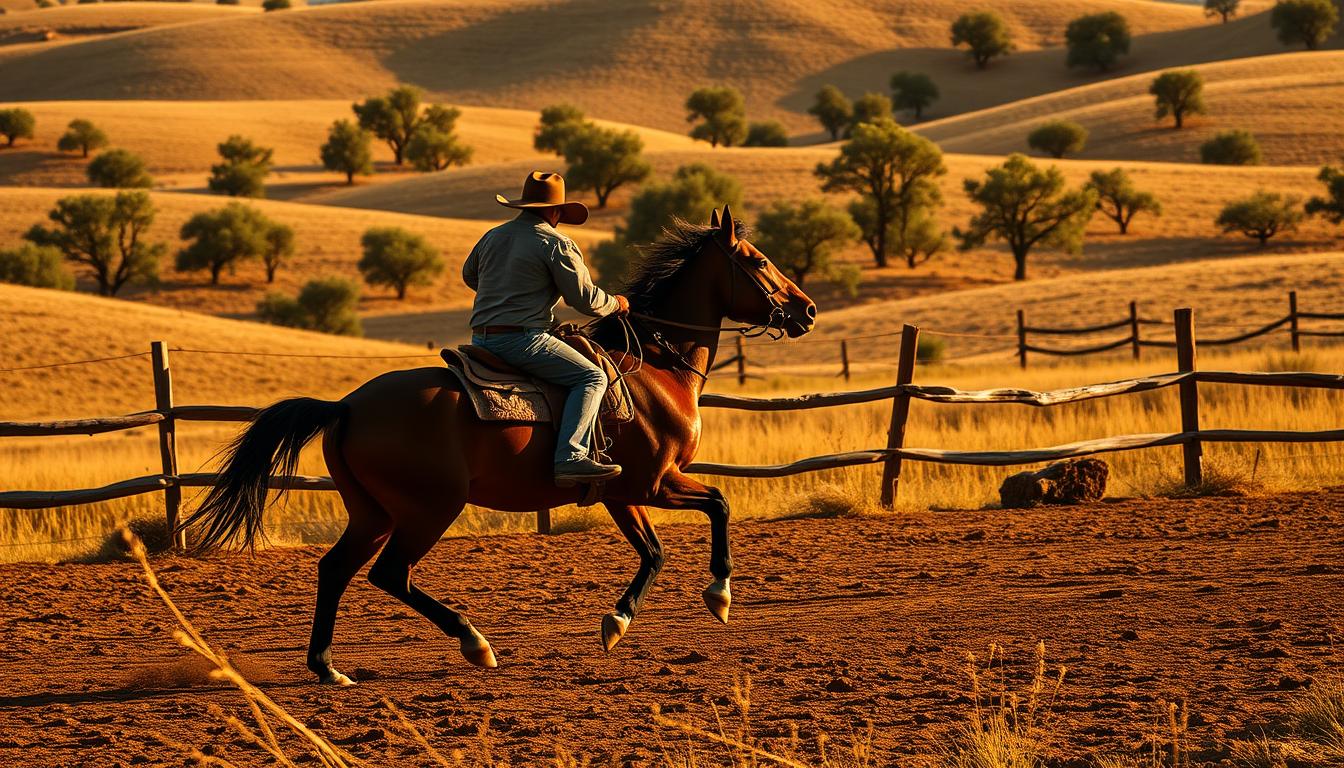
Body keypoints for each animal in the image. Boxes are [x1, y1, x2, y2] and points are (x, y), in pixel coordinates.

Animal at [185, 206, 817, 685]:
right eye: (757, 260)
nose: (806, 309)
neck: (654, 369)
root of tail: (346, 407)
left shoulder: (622, 493)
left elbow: (654, 552)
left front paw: (617, 623)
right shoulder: (655, 483)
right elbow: (719, 504)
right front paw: (719, 593)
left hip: (372, 512)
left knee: (335, 569)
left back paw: (327, 667)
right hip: (428, 509)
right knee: (389, 574)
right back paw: (474, 643)